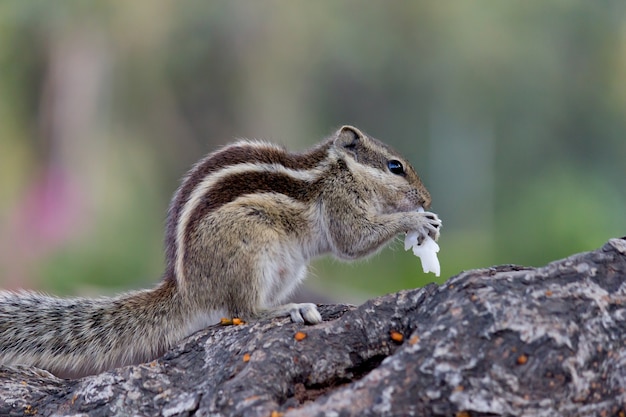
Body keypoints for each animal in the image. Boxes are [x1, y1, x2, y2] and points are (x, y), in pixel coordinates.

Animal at [0, 125, 438, 376]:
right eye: (395, 167)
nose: (427, 198)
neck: (339, 170)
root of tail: (185, 289)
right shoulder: (339, 204)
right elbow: (354, 240)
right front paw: (416, 221)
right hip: (252, 250)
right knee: (246, 311)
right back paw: (289, 310)